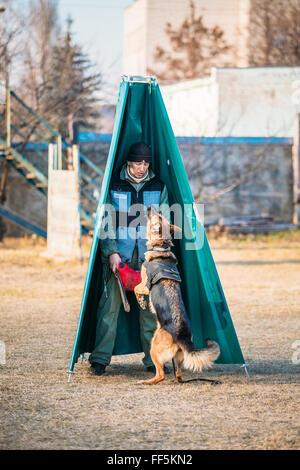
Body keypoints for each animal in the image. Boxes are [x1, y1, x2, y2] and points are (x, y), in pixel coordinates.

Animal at [134, 207, 220, 384]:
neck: (160, 248)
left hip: (153, 347)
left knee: (160, 375)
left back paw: (146, 381)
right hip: (179, 358)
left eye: (158, 217)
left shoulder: (145, 285)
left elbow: (135, 288)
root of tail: (182, 336)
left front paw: (141, 302)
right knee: (179, 374)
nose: (150, 207)